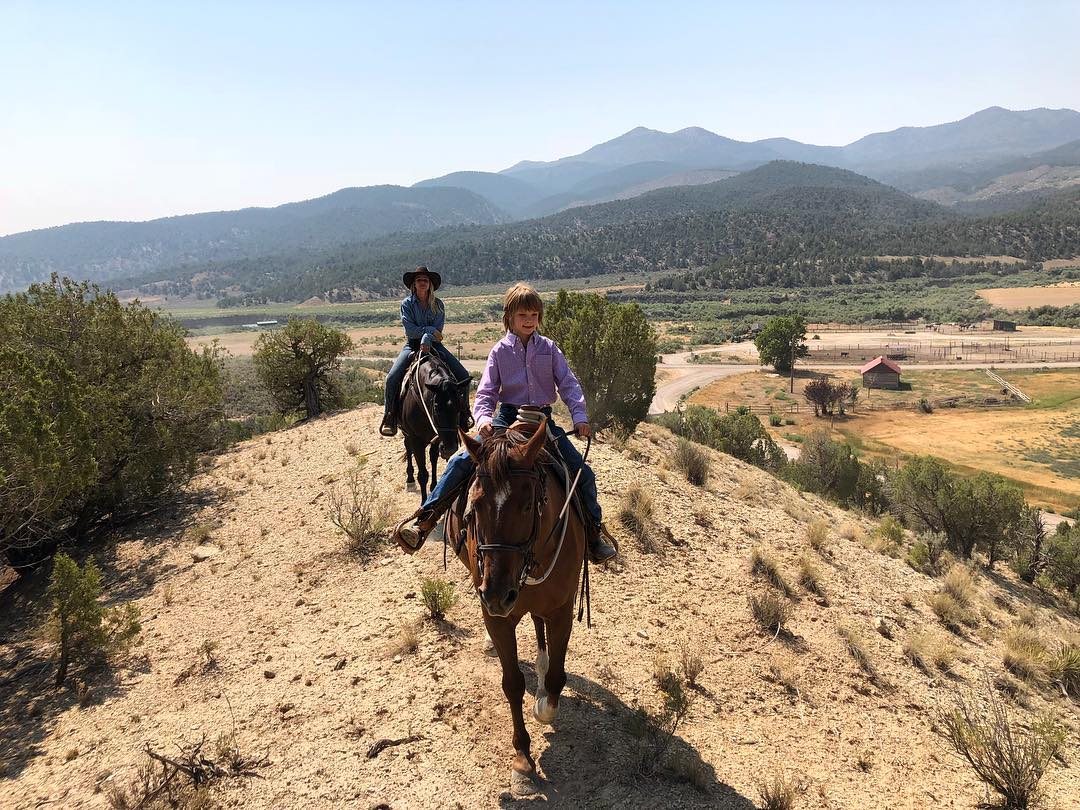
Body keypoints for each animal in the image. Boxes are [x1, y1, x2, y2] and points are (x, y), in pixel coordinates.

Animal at [399, 354, 462, 501]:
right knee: (407, 447)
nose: (450, 449)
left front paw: (434, 487)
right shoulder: (416, 440)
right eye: (437, 406)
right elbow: (422, 474)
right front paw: (424, 501)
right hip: (406, 433)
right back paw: (410, 480)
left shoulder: (437, 437)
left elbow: (433, 458)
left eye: (459, 406)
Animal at [444, 419, 587, 794]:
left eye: (527, 504)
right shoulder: (497, 618)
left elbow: (557, 677)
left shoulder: (562, 610)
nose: (497, 594)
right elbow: (511, 683)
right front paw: (522, 759)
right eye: (473, 507)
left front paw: (543, 708)